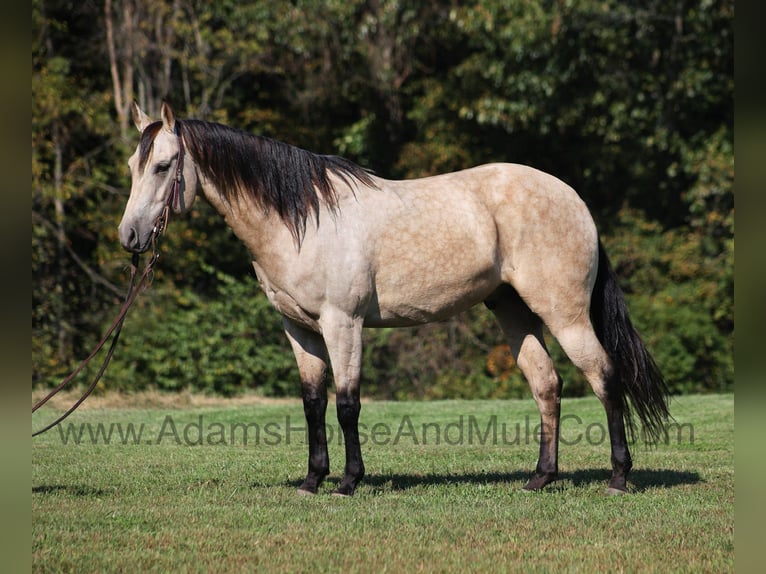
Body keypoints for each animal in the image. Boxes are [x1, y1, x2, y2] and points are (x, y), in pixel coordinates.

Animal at [118, 101, 670, 496]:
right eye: (132, 165)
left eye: (164, 166)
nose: (130, 237)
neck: (302, 221)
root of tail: (574, 200)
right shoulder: (299, 330)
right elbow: (313, 403)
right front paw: (312, 480)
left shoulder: (343, 323)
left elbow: (347, 404)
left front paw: (347, 482)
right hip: (514, 312)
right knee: (547, 384)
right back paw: (540, 478)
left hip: (565, 313)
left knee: (604, 377)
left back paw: (618, 478)